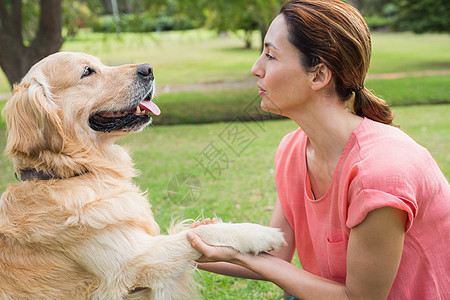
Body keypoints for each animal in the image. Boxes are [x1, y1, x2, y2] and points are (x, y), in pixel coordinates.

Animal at [0, 52, 284, 298]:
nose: (148, 69)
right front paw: (258, 234)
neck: (68, 173)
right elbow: (201, 234)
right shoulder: (131, 265)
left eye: (99, 63)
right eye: (87, 71)